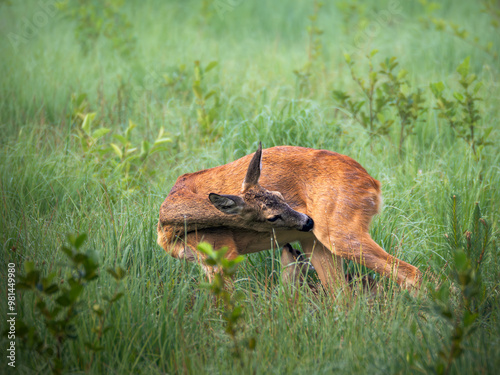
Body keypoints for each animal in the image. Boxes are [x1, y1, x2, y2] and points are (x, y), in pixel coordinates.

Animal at [157, 143, 422, 288]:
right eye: (272, 216)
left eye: (281, 195)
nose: (307, 221)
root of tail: (373, 184)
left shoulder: (223, 253)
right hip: (316, 243)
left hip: (341, 232)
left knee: (412, 274)